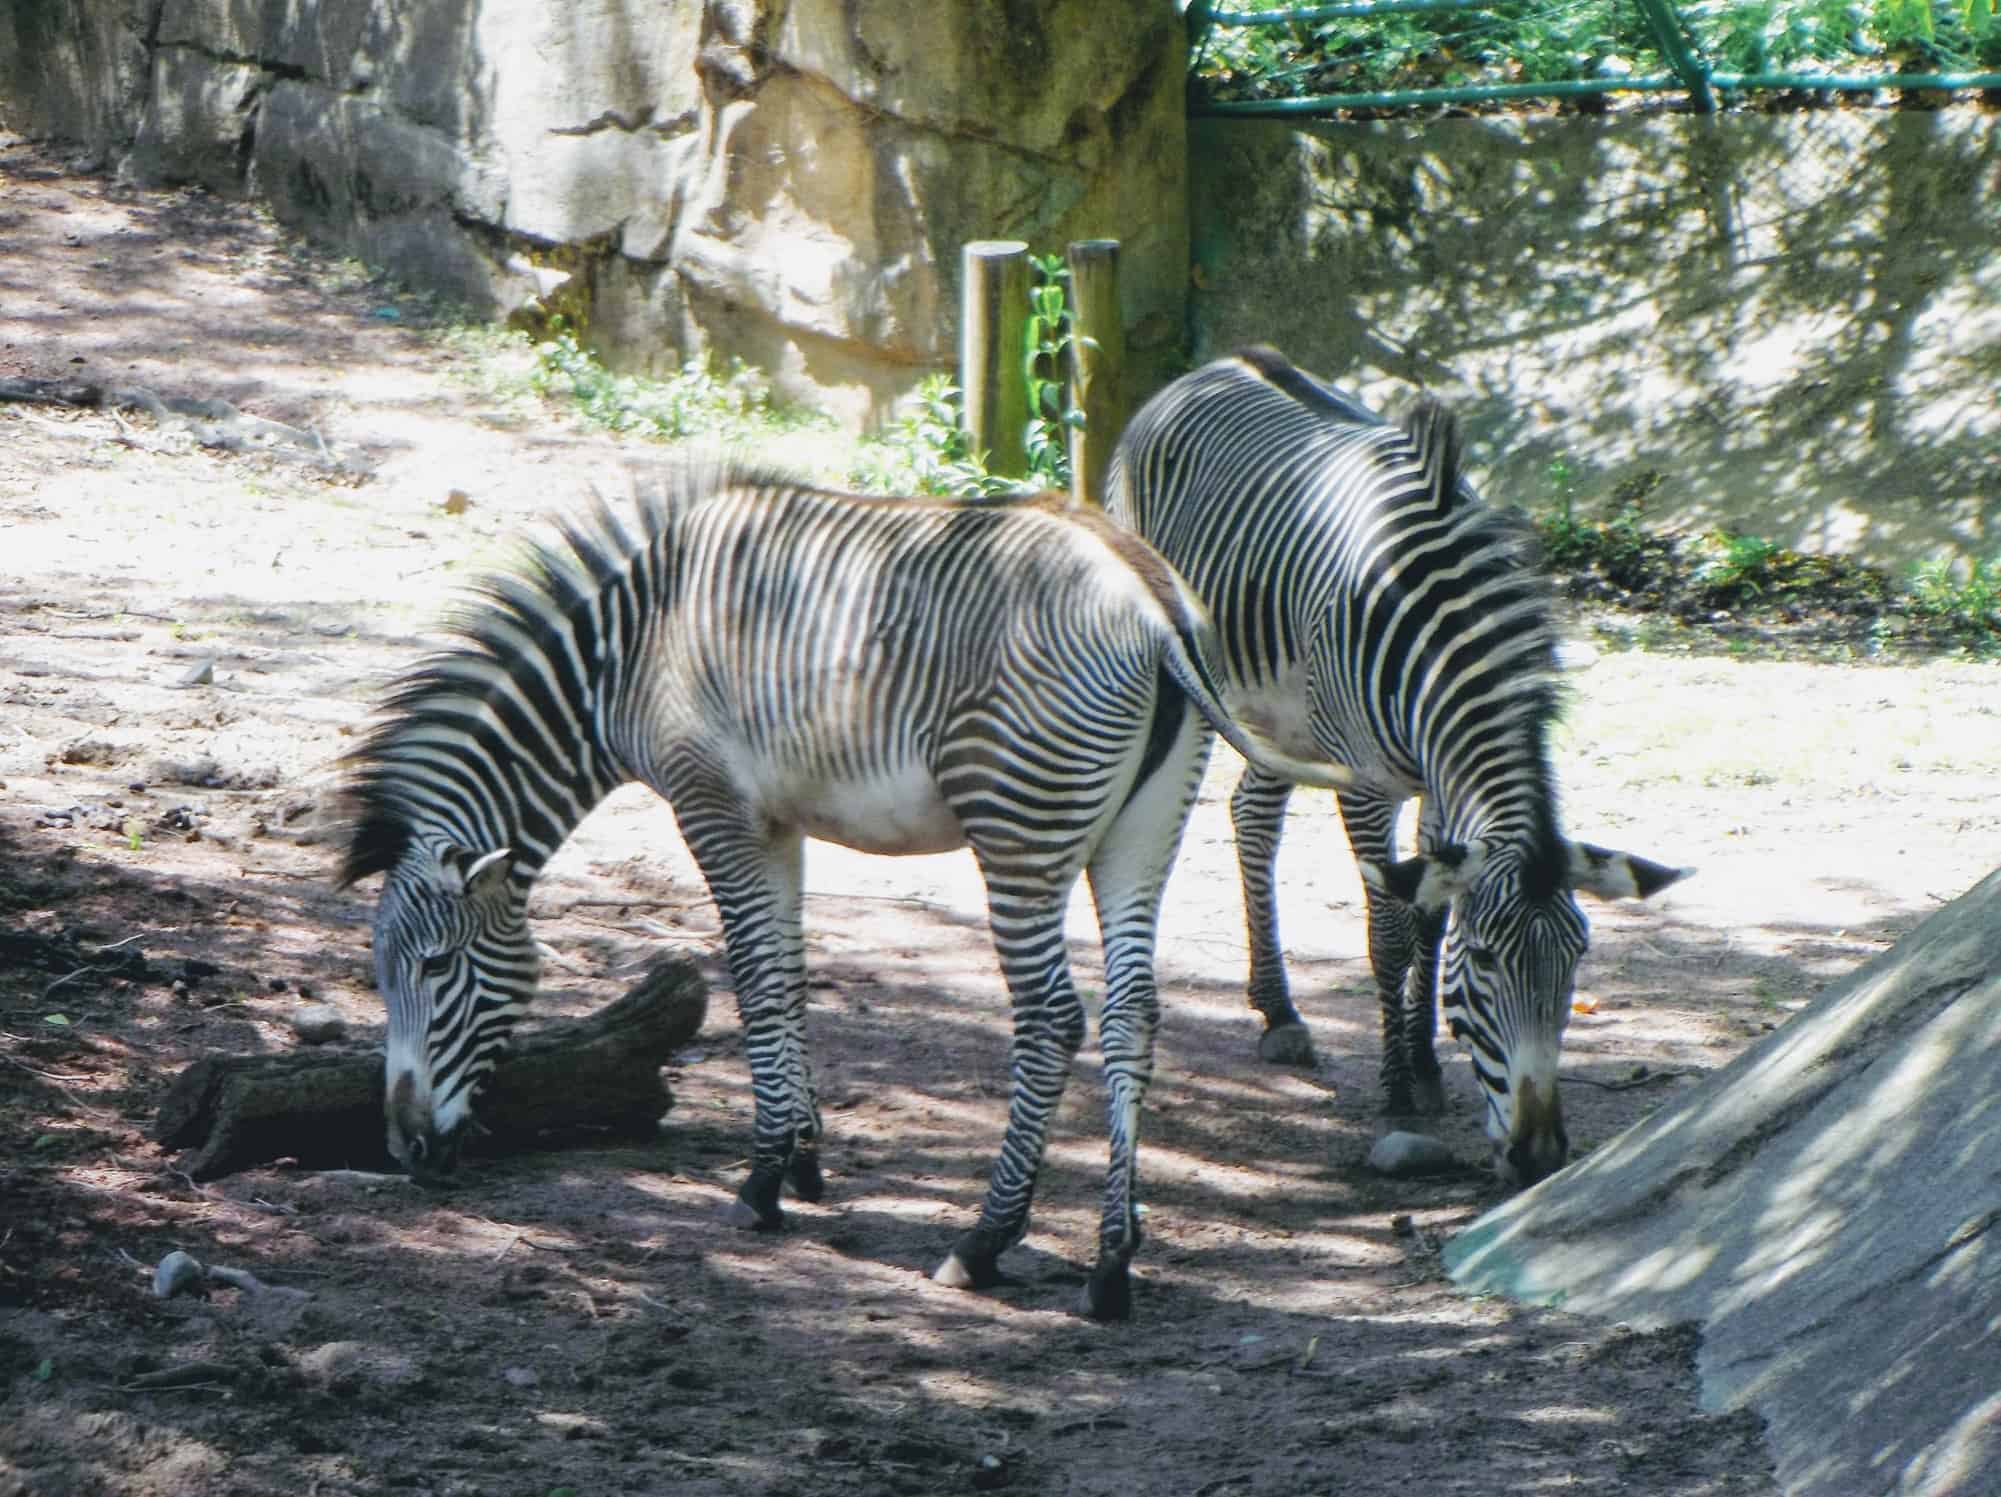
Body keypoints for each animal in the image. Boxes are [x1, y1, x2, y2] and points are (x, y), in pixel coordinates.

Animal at [336, 458, 1360, 1320]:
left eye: (435, 966)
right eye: (380, 975)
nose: (404, 1150)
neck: (631, 648)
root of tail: (1148, 600)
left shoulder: (712, 804)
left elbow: (753, 978)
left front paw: (759, 1183)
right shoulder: (776, 820)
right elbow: (789, 975)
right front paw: (804, 1159)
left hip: (1018, 823)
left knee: (1051, 1019)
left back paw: (983, 1242)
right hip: (1141, 831)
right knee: (1132, 1015)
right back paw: (1112, 1261)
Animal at [1104, 348, 1696, 1184]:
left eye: (1577, 959)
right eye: (1484, 961)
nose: (1539, 1154)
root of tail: (1218, 364)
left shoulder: (1438, 782)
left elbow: (1429, 914)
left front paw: (1422, 1062)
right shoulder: (1368, 781)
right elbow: (1387, 925)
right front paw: (1394, 1085)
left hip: (1279, 713)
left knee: (1251, 813)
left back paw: (1277, 1008)